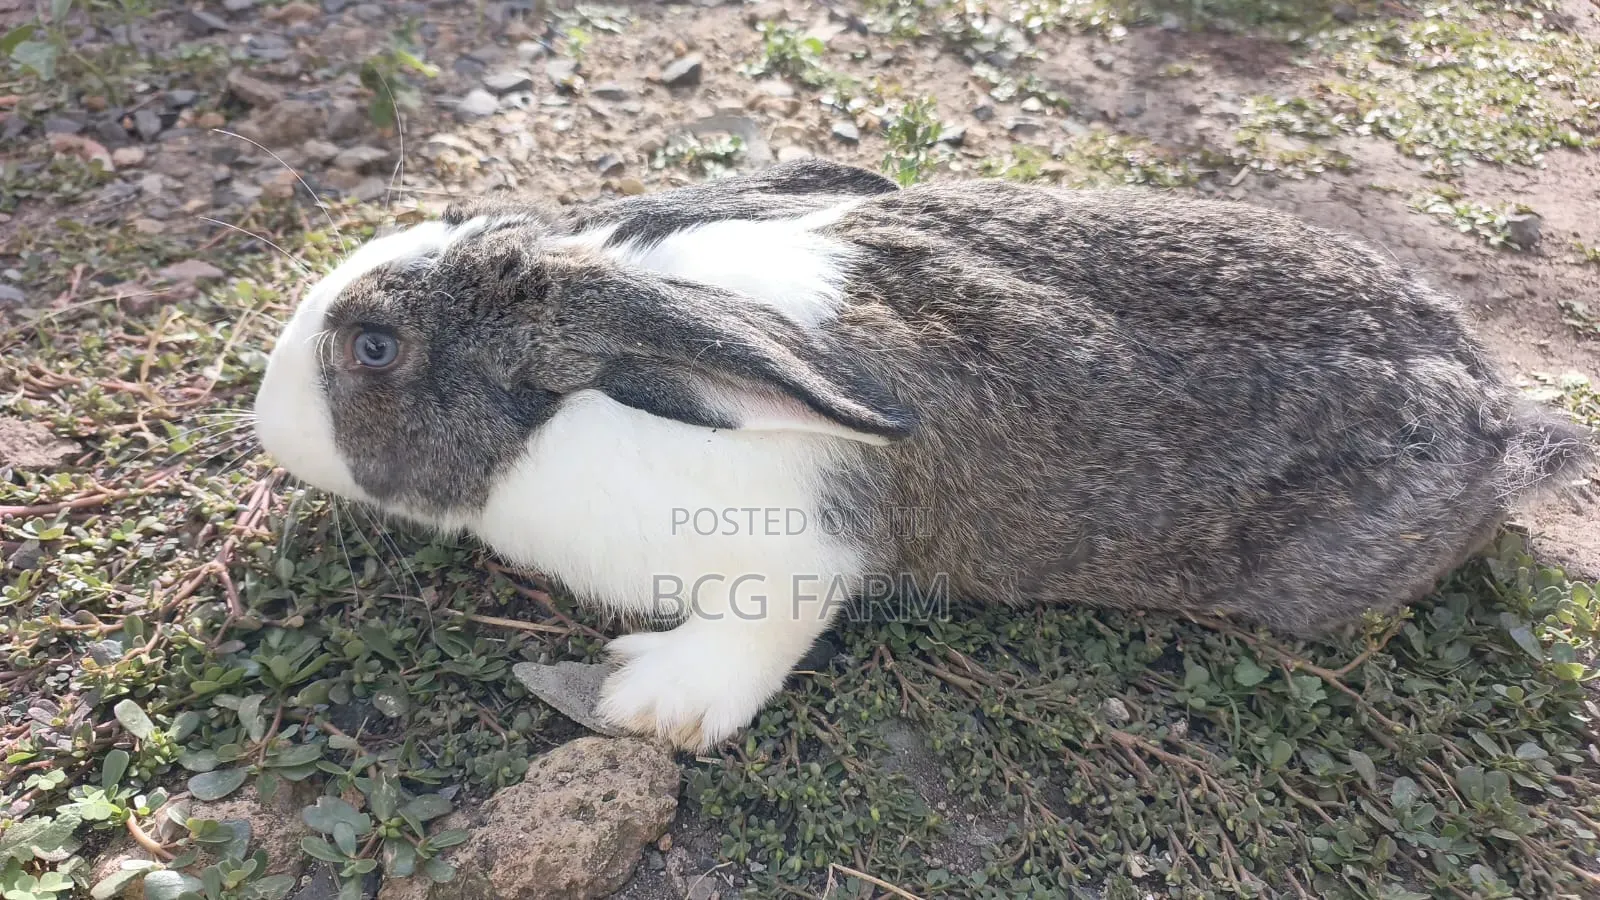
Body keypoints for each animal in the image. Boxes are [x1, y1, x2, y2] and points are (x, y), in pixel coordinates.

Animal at [253, 158, 1592, 750]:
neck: (573, 416)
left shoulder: (792, 562)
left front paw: (647, 701)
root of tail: (1494, 413)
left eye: (372, 348)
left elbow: (756, 637)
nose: (264, 416)